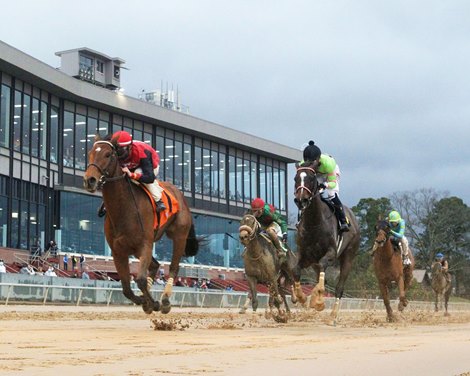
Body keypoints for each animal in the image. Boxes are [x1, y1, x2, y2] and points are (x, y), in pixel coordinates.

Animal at [83, 134, 199, 314]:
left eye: (108, 154)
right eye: (90, 153)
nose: (90, 180)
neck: (124, 208)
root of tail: (180, 195)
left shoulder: (145, 244)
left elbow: (140, 280)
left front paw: (154, 303)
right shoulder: (118, 251)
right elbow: (126, 287)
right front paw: (145, 301)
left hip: (179, 235)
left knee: (173, 267)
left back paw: (165, 300)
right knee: (155, 265)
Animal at [294, 162, 360, 324]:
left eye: (311, 179)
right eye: (295, 178)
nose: (301, 200)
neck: (314, 222)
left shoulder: (331, 253)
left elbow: (323, 266)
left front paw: (316, 301)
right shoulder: (306, 256)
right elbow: (296, 269)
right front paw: (302, 297)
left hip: (348, 256)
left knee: (339, 287)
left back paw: (332, 316)